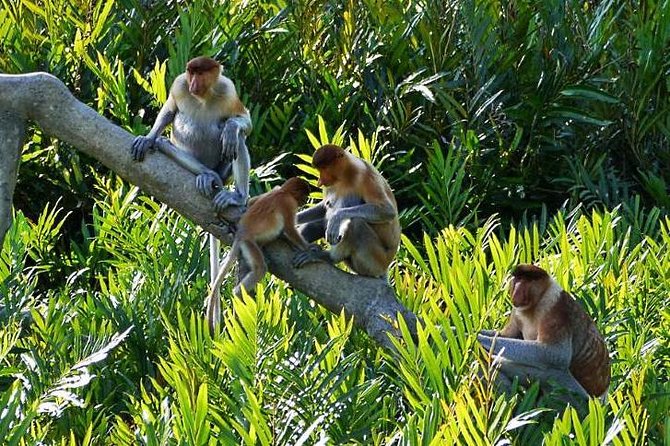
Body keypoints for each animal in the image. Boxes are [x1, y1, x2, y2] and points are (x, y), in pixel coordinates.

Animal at [131, 56, 252, 296]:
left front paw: (232, 127)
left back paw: (237, 195)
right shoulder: (179, 84)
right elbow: (169, 111)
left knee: (237, 139)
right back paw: (206, 174)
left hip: (225, 171)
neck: (203, 96)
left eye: (201, 73)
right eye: (191, 72)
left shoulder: (227, 89)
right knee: (166, 143)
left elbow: (244, 121)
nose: (194, 83)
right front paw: (148, 138)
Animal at [205, 177, 311, 331]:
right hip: (248, 243)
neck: (283, 191)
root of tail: (242, 233)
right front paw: (309, 248)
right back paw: (238, 293)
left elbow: (252, 201)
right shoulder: (288, 203)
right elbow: (290, 229)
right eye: (305, 195)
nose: (306, 200)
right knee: (260, 268)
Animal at [292, 144, 401, 278]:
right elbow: (324, 206)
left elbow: (387, 210)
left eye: (324, 168)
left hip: (377, 261)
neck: (345, 174)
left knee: (356, 223)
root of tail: (385, 267)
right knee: (320, 223)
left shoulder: (365, 175)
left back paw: (327, 257)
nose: (320, 181)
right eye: (319, 169)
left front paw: (336, 217)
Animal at [477, 264, 611, 399]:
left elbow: (554, 354)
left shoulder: (555, 310)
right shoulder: (516, 312)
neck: (535, 304)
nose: (517, 290)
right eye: (518, 279)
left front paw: (479, 339)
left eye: (527, 280)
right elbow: (505, 335)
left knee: (553, 371)